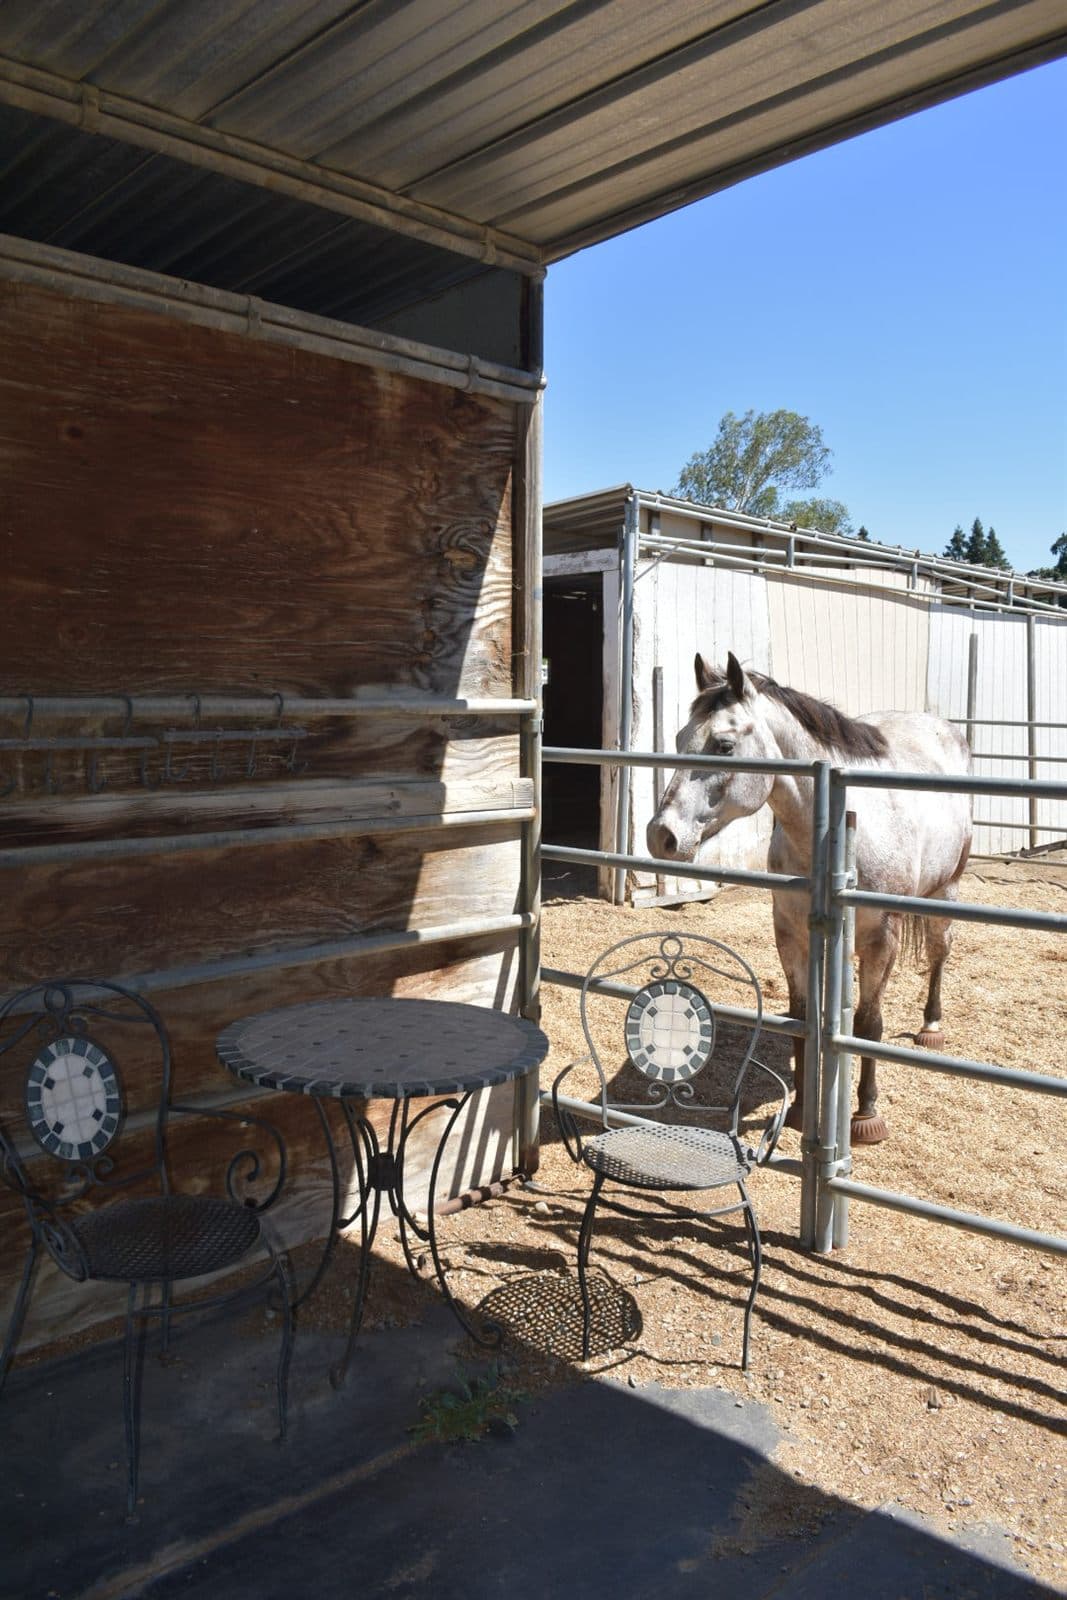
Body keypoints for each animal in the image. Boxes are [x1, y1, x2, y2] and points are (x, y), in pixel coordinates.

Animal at [646, 652, 972, 1143]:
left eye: (723, 745)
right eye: (681, 738)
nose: (661, 835)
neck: (835, 833)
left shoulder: (882, 940)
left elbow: (869, 1024)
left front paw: (866, 1115)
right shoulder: (790, 935)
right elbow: (800, 1021)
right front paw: (801, 1111)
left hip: (945, 891)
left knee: (939, 952)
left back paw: (931, 1025)